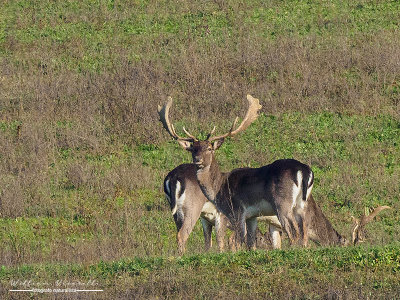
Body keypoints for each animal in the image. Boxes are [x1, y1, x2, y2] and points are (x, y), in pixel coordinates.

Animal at [158, 94, 390, 248]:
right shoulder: (249, 216)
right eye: (193, 148)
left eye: (209, 148)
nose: (197, 160)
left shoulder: (240, 212)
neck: (219, 186)